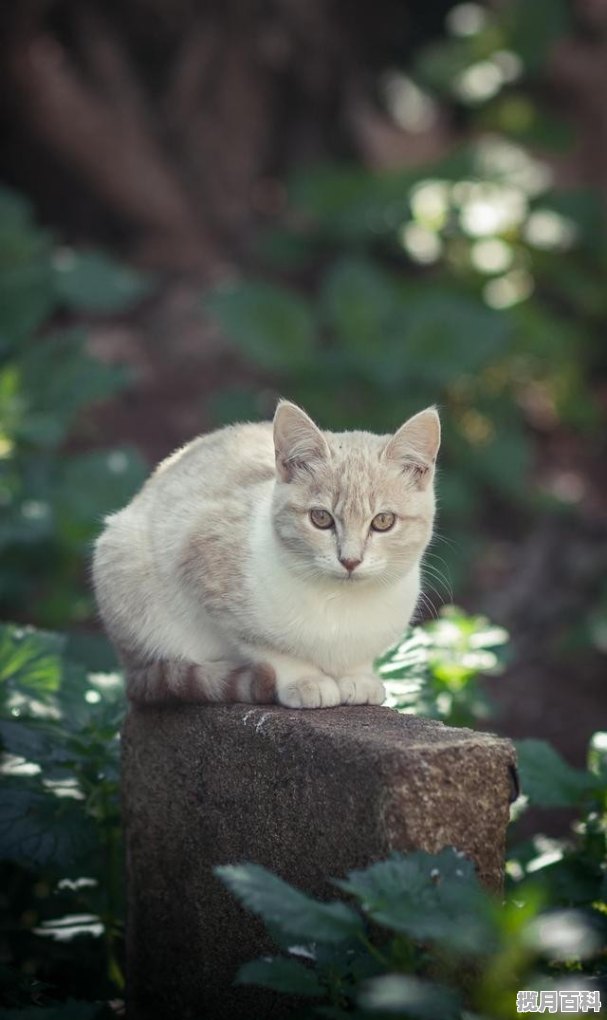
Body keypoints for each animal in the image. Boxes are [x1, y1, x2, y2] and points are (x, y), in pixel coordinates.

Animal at [92, 397, 438, 709]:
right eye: (321, 518)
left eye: (383, 521)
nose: (350, 560)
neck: (341, 604)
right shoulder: (202, 559)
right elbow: (270, 649)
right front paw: (306, 680)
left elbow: (357, 660)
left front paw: (358, 678)